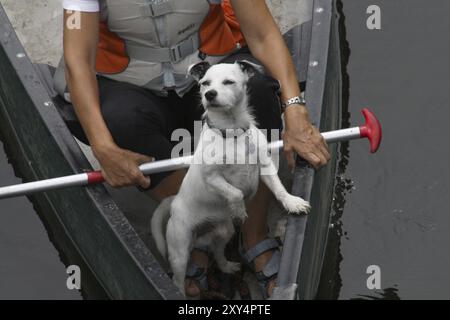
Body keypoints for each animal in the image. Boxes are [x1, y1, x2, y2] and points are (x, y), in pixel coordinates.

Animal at [151, 61, 310, 294]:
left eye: (228, 82)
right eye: (204, 83)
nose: (209, 94)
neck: (231, 131)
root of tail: (174, 202)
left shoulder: (265, 166)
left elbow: (279, 189)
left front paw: (292, 202)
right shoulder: (212, 178)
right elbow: (235, 192)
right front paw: (240, 209)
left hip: (224, 233)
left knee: (217, 252)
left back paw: (226, 266)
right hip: (179, 249)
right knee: (178, 279)